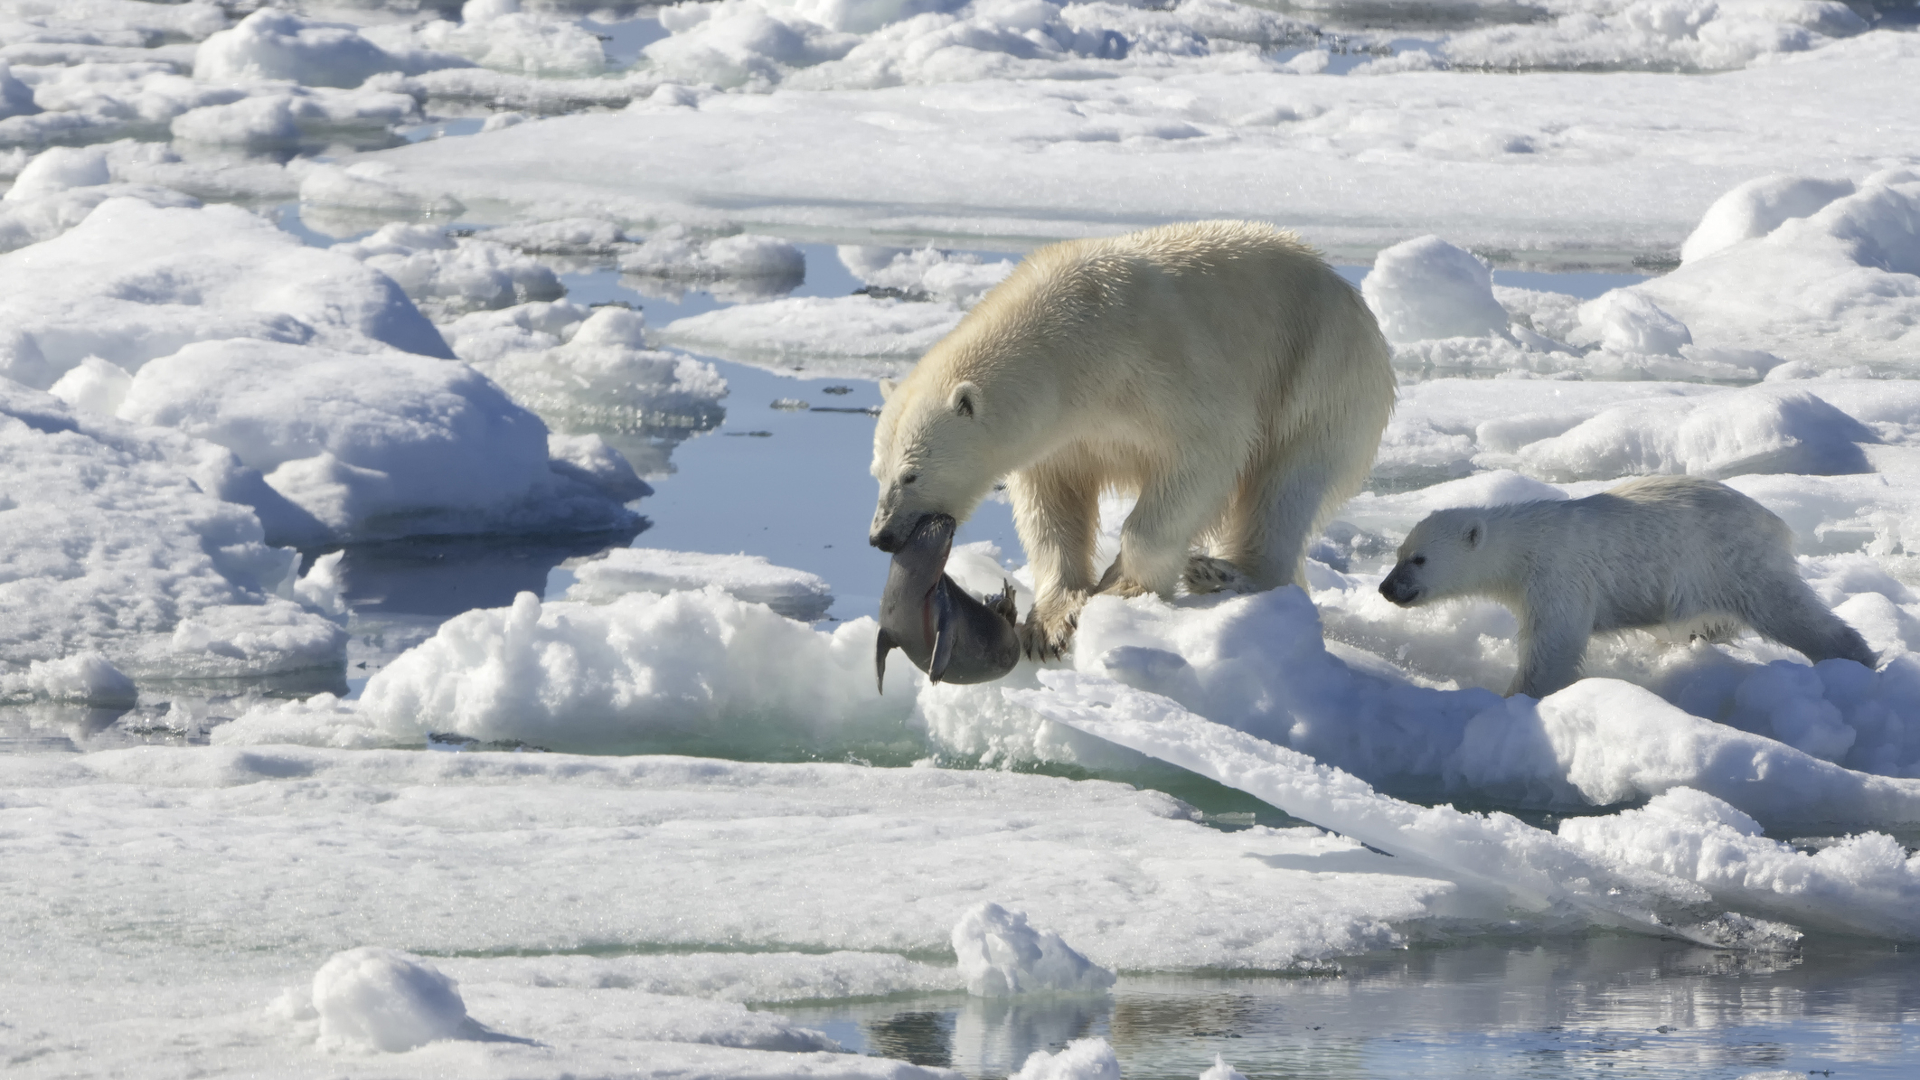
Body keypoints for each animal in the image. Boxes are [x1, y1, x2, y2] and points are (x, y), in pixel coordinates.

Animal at [868, 220, 1398, 659]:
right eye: (877, 471)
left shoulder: (1160, 371)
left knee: (1286, 487)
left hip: (1321, 375)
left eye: (911, 474)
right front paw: (1050, 621)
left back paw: (1223, 574)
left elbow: (1206, 451)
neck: (1073, 343)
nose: (881, 535)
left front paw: (1121, 585)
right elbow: (1052, 504)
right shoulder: (1062, 438)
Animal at [1378, 474, 1879, 698]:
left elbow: (1553, 644)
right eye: (1398, 553)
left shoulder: (1558, 573)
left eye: (1419, 560)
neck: (1524, 543)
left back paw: (1855, 658)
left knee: (1789, 610)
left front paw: (1517, 697)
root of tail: (1776, 522)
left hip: (1731, 560)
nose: (1386, 588)